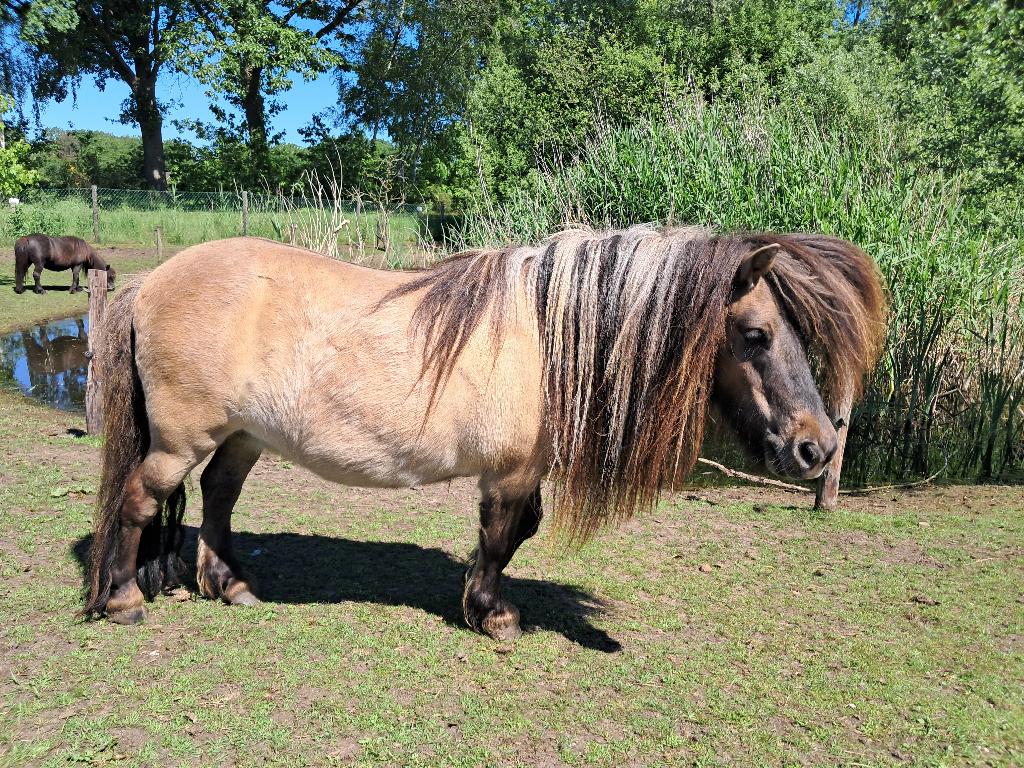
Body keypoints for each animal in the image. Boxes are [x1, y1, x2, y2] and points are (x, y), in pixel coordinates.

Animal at [84, 227, 886, 638]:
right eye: (755, 335)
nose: (818, 448)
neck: (554, 340)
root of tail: (149, 283)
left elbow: (513, 536)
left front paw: (482, 602)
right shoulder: (511, 471)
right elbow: (502, 538)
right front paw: (492, 615)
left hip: (246, 435)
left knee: (218, 497)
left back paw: (232, 586)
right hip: (179, 442)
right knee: (139, 503)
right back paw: (121, 600)